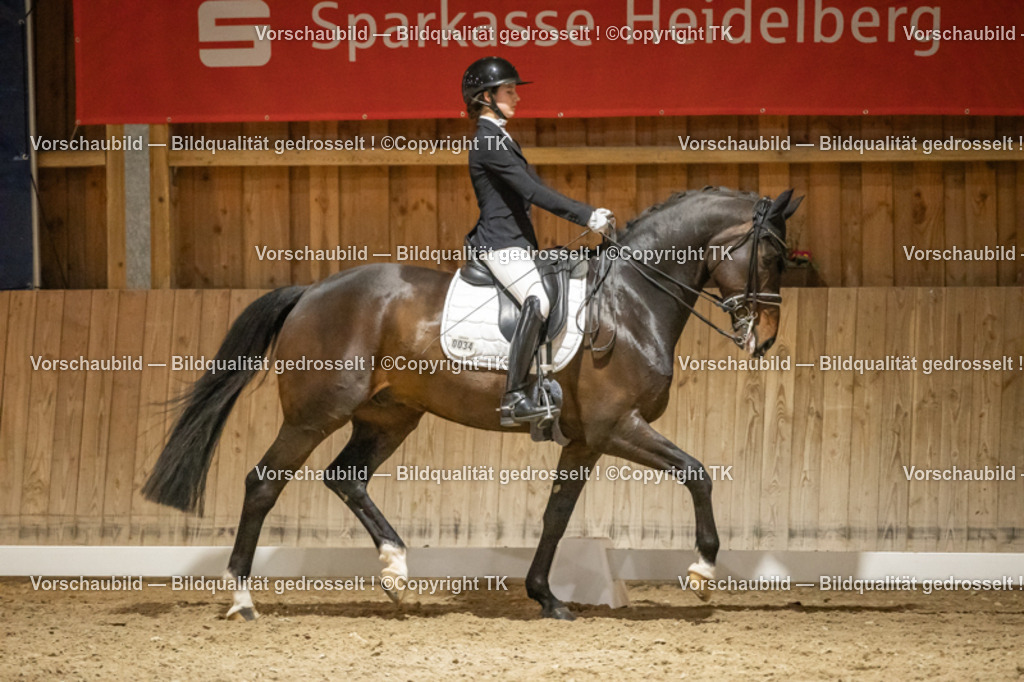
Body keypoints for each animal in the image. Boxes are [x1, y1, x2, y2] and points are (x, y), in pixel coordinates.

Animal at [142, 186, 802, 621]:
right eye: (771, 254)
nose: (766, 337)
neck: (630, 302)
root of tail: (312, 291)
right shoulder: (619, 427)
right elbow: (698, 474)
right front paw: (702, 571)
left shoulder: (587, 440)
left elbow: (557, 515)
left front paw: (546, 597)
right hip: (314, 415)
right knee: (264, 483)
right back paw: (242, 599)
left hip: (390, 416)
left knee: (346, 477)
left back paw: (397, 573)